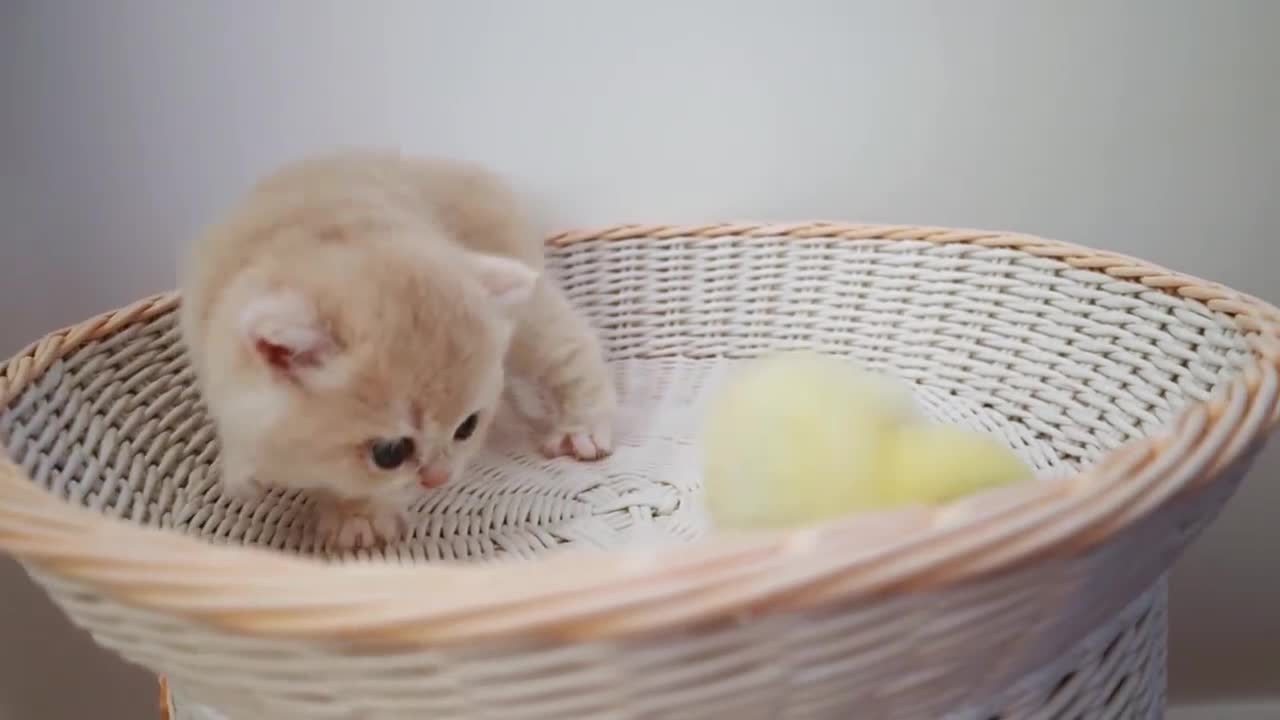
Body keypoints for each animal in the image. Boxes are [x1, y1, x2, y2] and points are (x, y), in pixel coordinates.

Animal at [180, 148, 614, 545]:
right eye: (389, 453)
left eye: (467, 427)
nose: (438, 479)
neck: (327, 236)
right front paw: (243, 473)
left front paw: (358, 516)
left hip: (524, 305)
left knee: (567, 344)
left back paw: (583, 428)